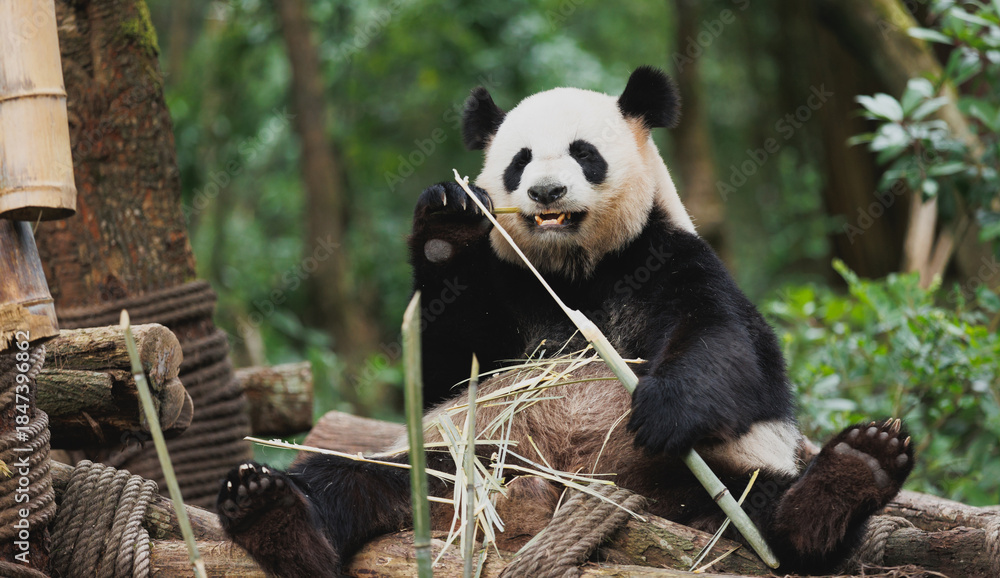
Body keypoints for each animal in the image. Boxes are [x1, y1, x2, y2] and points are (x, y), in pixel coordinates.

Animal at [217, 66, 914, 576]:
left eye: (584, 154)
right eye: (520, 161)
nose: (547, 192)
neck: (577, 267)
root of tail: (538, 501)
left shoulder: (667, 256)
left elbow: (724, 343)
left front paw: (663, 408)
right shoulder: (508, 285)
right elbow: (447, 366)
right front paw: (445, 221)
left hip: (692, 480)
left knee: (760, 509)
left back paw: (850, 476)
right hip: (470, 463)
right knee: (355, 479)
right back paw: (272, 514)